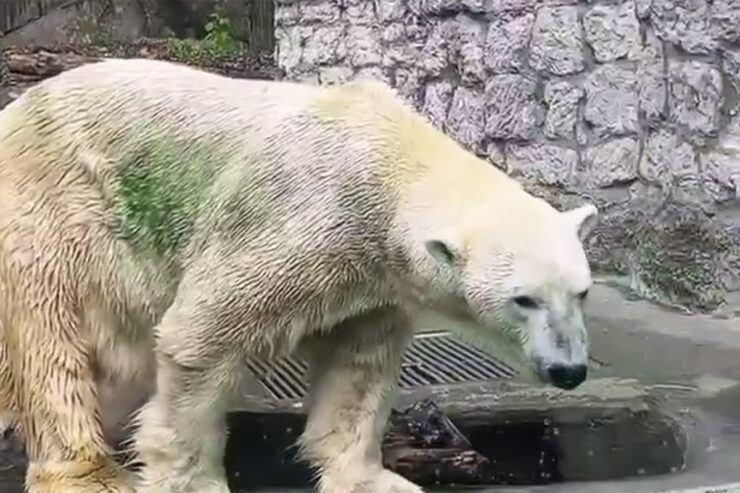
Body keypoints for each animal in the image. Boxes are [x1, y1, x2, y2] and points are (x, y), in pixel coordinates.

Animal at [0, 58, 598, 493]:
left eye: (582, 292)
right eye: (524, 299)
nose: (570, 370)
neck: (389, 156)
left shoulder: (374, 282)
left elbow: (359, 368)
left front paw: (374, 479)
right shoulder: (298, 224)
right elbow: (199, 334)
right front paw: (194, 481)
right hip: (55, 207)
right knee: (53, 340)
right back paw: (90, 473)